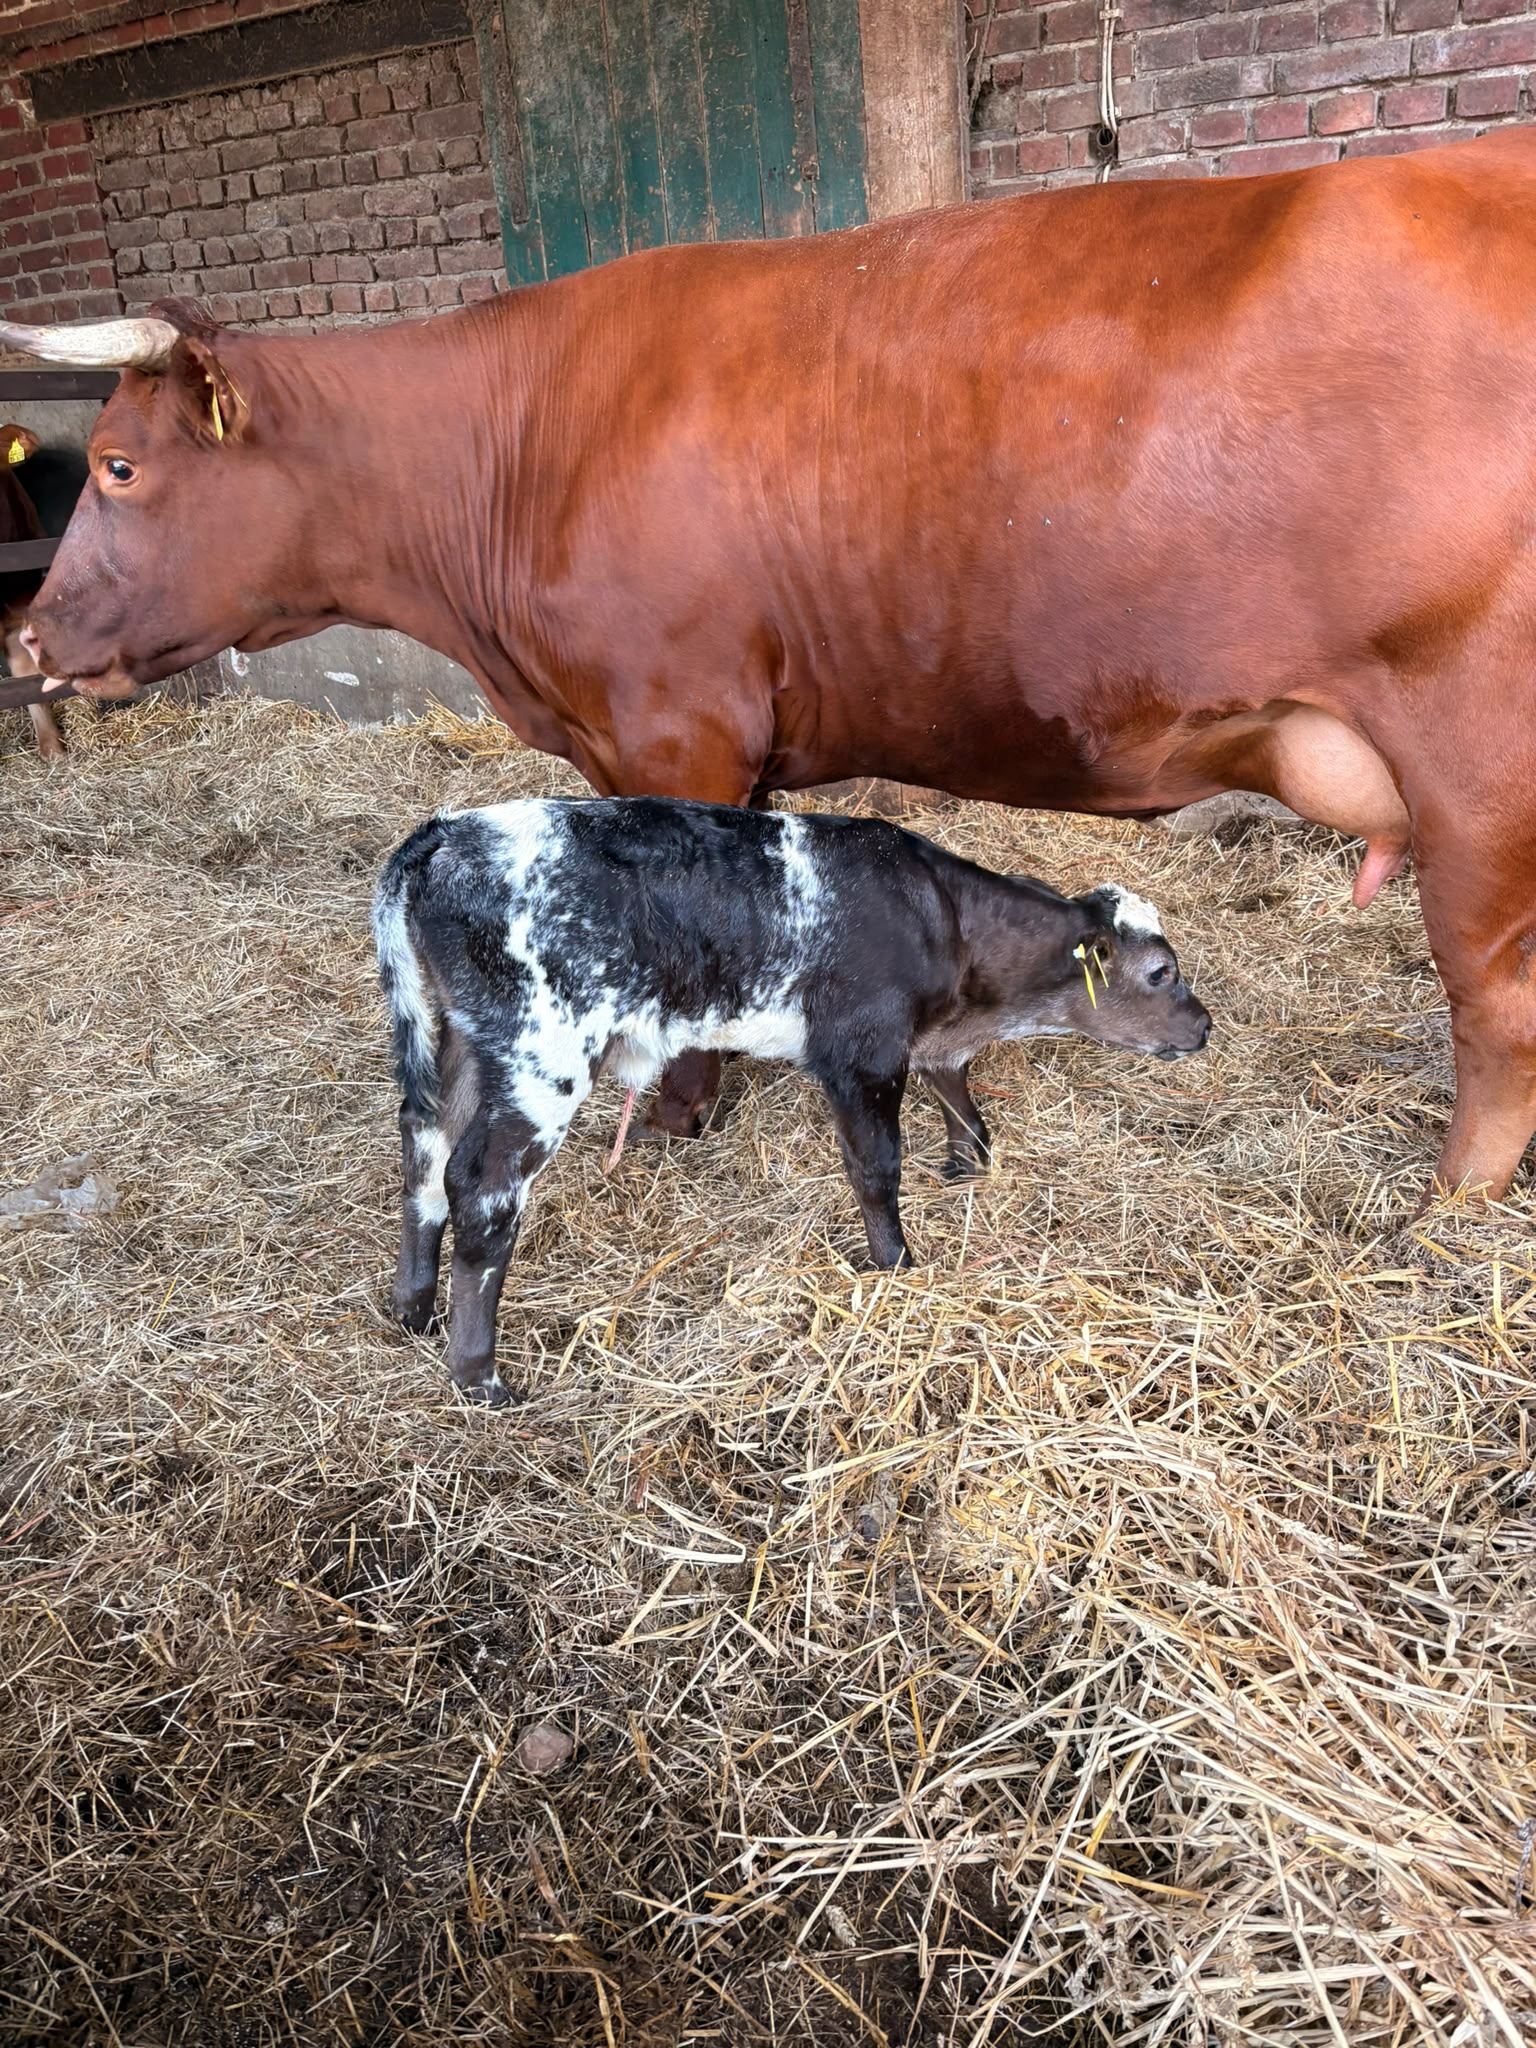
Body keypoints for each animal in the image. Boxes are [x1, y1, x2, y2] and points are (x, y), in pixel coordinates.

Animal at [6, 130, 1536, 1203]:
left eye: (120, 465)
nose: (28, 639)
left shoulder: (675, 731)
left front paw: (683, 1110)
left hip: (1477, 768)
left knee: (1494, 1003)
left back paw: (1447, 1211)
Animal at [373, 796, 1211, 1402]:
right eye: (1161, 972)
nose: (1203, 1025)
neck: (947, 928)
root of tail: (448, 832)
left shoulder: (923, 1040)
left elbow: (957, 1092)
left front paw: (969, 1163)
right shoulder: (860, 1051)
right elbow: (876, 1167)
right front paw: (895, 1266)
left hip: (463, 1039)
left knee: (424, 1143)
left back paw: (414, 1310)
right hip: (542, 1053)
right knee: (481, 1186)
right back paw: (479, 1376)